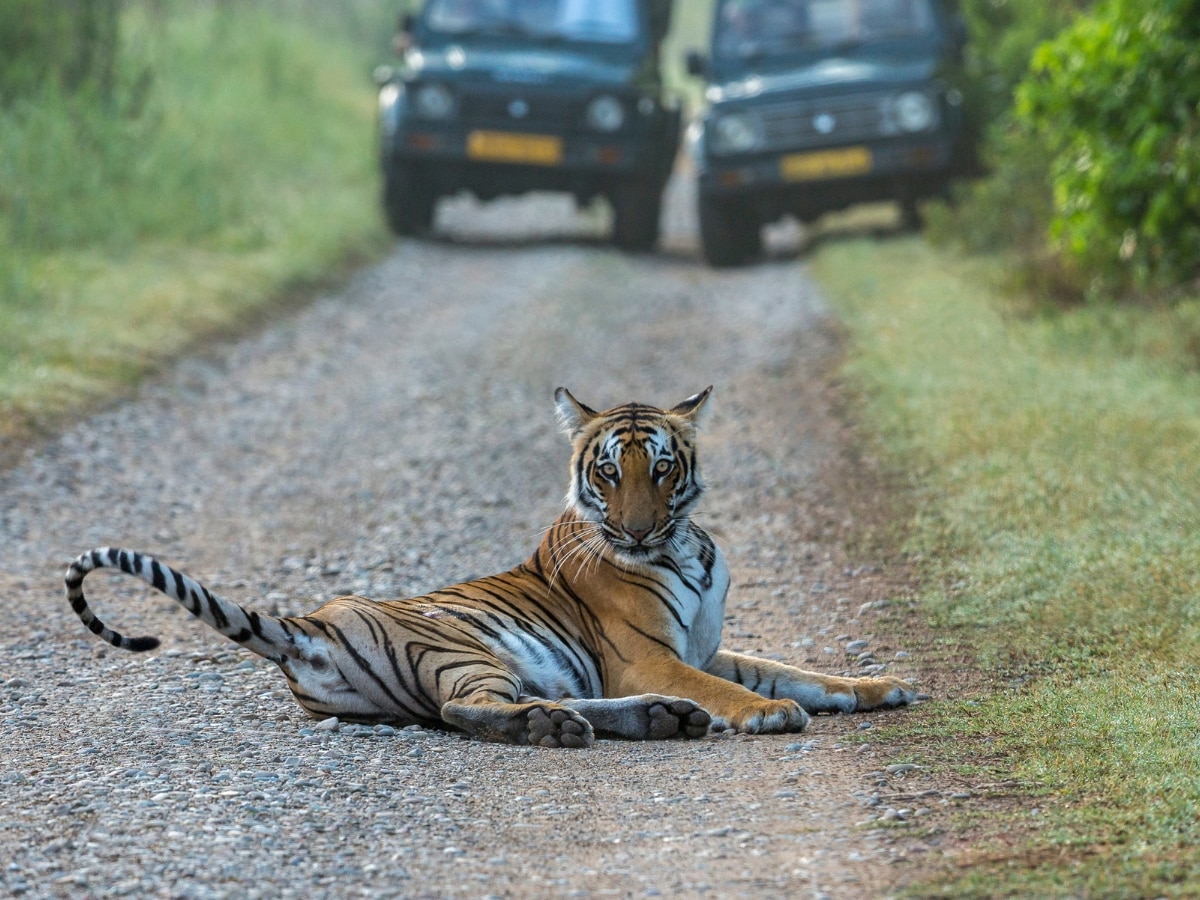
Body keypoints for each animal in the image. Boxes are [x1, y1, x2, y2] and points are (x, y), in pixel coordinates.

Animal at [65, 388, 921, 748]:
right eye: (608, 472)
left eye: (663, 468)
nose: (637, 530)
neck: (686, 545)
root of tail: (313, 623)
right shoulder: (648, 656)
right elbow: (742, 690)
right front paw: (768, 714)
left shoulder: (705, 648)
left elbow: (797, 670)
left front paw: (878, 687)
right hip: (466, 649)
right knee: (463, 711)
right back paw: (569, 728)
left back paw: (654, 719)